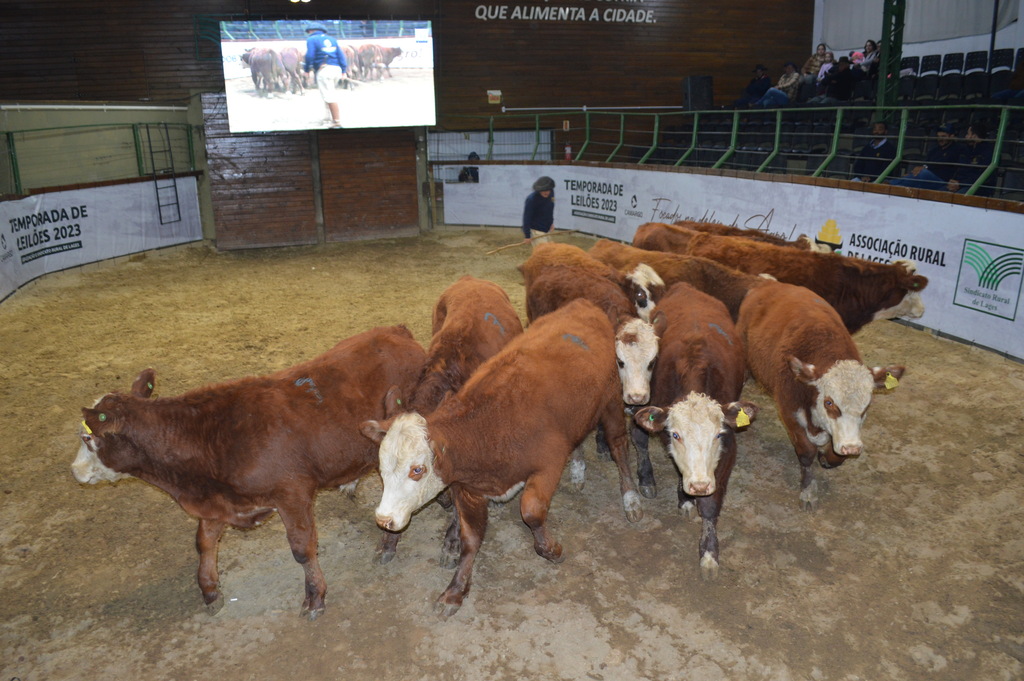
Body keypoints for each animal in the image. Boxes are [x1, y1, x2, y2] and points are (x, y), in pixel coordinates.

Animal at [71, 327, 423, 618]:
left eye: (88, 438)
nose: (75, 471)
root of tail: (396, 331)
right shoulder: (216, 501)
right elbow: (204, 542)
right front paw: (210, 591)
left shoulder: (291, 493)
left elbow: (302, 549)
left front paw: (314, 597)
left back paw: (388, 544)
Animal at [364, 299, 634, 614]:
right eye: (381, 470)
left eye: (417, 470)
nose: (384, 520)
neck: (489, 428)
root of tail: (585, 304)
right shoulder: (469, 489)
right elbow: (470, 539)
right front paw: (455, 591)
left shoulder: (548, 464)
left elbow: (531, 511)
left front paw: (552, 550)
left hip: (612, 400)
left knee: (619, 446)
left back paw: (631, 499)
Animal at [626, 280, 757, 577]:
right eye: (676, 435)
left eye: (718, 434)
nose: (698, 485)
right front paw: (684, 499)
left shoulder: (728, 450)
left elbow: (710, 504)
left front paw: (709, 552)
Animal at [737, 278, 905, 507]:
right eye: (829, 402)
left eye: (867, 405)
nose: (852, 448)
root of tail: (767, 284)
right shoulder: (790, 412)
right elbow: (806, 453)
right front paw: (808, 490)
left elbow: (837, 456)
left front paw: (828, 458)